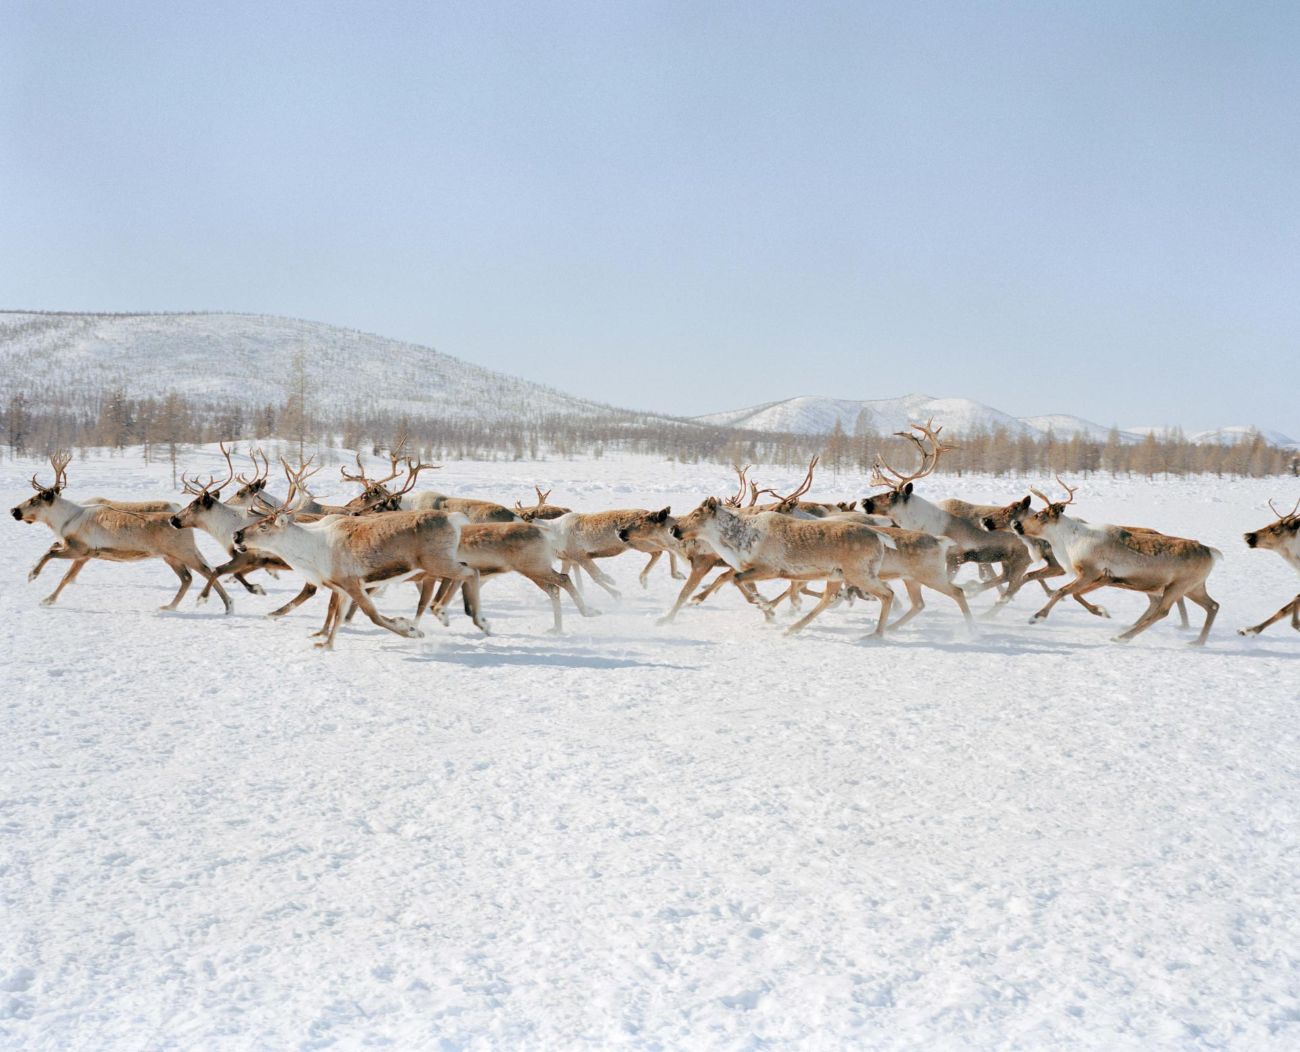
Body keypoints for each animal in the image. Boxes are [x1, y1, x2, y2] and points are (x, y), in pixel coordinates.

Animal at [10, 451, 233, 613]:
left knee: (207, 571)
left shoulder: (80, 550)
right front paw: (47, 596)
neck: (65, 520)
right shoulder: (85, 555)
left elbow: (51, 556)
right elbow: (64, 572)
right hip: (170, 556)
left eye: (34, 500)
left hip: (182, 551)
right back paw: (170, 606)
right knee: (188, 578)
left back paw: (227, 605)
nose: (14, 510)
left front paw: (35, 579)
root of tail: (180, 520)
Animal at [231, 457, 482, 649]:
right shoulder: (342, 587)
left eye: (264, 526)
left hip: (438, 561)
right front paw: (326, 644)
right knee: (462, 575)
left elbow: (373, 616)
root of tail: (454, 518)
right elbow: (338, 616)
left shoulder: (351, 582)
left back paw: (477, 620)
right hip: (441, 562)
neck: (312, 548)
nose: (237, 535)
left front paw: (409, 631)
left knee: (471, 572)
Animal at [1009, 478, 1220, 645]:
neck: (1067, 541)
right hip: (1194, 587)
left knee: (1162, 611)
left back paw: (1123, 637)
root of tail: (1211, 552)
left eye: (1039, 515)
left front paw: (1036, 617)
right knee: (1213, 606)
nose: (1016, 524)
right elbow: (1074, 594)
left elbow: (1062, 592)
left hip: (1178, 586)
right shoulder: (1103, 578)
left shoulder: (1091, 573)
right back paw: (1198, 642)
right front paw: (1101, 611)